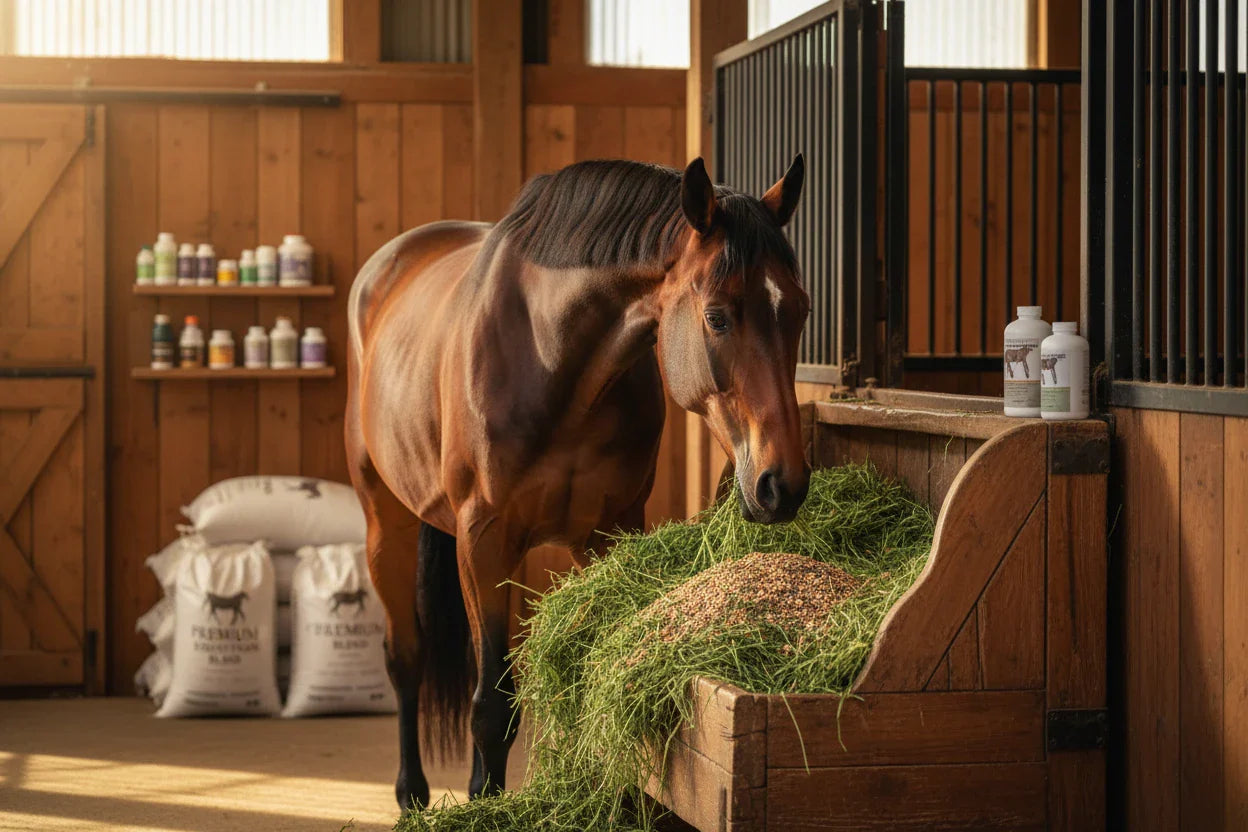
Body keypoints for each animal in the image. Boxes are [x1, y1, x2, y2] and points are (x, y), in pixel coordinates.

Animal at [345, 155, 811, 810]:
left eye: (800, 309)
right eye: (717, 316)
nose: (782, 484)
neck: (549, 355)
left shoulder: (606, 535)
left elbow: (580, 675)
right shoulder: (484, 541)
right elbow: (491, 708)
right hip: (387, 523)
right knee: (406, 658)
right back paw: (411, 793)